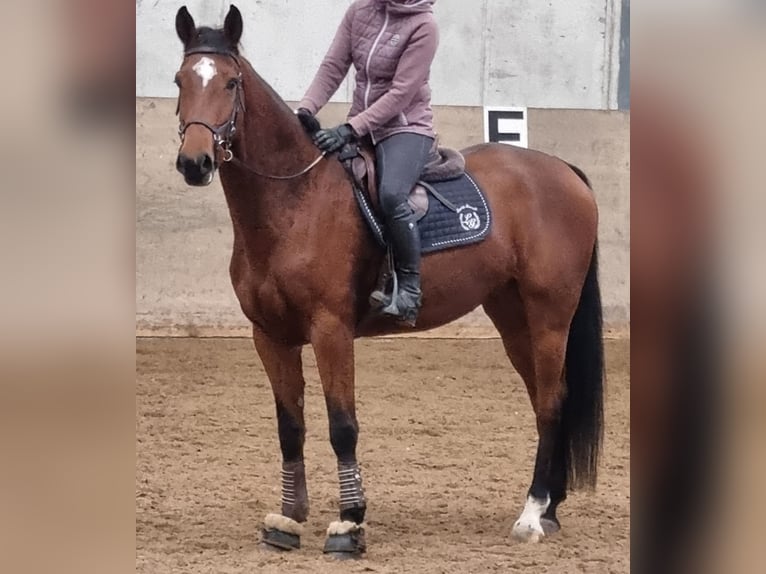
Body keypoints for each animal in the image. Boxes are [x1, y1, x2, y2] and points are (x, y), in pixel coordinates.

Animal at [172, 4, 608, 560]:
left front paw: (349, 524)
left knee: (552, 403)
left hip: (550, 318)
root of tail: (564, 172)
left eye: (230, 82)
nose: (195, 162)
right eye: (180, 80)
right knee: (544, 402)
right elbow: (291, 427)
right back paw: (549, 509)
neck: (295, 200)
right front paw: (288, 519)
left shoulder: (330, 331)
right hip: (515, 321)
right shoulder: (269, 337)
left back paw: (531, 515)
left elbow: (342, 426)